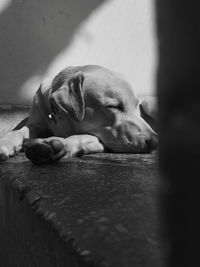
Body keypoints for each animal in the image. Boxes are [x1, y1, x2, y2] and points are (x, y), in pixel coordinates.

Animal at [0, 66, 158, 164]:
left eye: (137, 106)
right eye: (113, 106)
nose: (155, 141)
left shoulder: (100, 138)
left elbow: (79, 137)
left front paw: (56, 146)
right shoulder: (36, 124)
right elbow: (18, 132)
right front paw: (5, 143)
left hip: (148, 104)